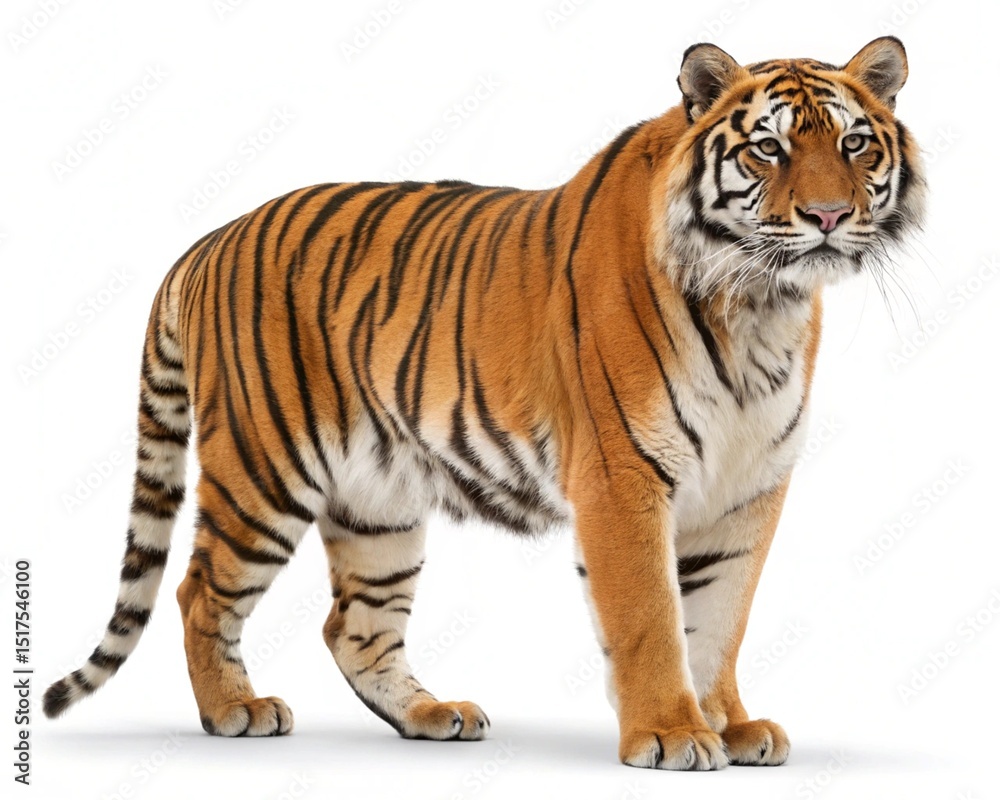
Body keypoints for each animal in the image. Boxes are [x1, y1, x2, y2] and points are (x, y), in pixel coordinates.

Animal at [44, 36, 925, 770]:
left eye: (853, 142)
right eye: (768, 147)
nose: (827, 216)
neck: (761, 305)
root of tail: (208, 241)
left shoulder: (748, 490)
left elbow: (720, 618)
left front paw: (729, 725)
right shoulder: (622, 478)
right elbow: (650, 616)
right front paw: (673, 734)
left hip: (378, 502)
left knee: (352, 625)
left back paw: (432, 716)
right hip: (264, 471)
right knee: (199, 590)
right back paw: (235, 710)